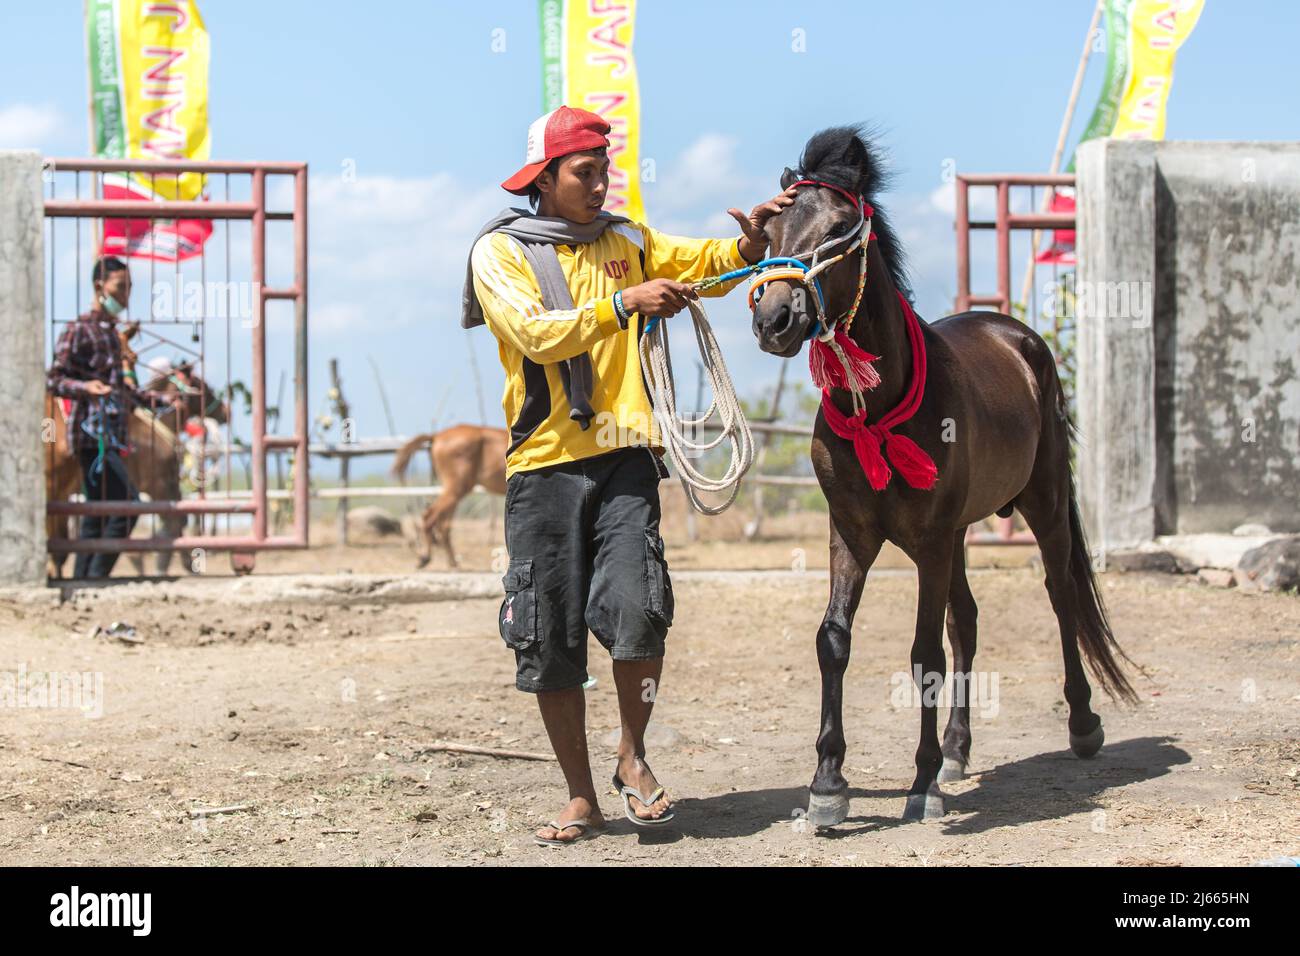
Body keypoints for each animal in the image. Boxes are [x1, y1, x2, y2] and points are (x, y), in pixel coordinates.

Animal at [390, 424, 508, 568]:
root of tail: (436, 436)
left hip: (453, 492)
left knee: (444, 525)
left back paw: (451, 561)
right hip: (456, 489)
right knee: (430, 517)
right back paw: (425, 557)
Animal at [748, 127, 1136, 826]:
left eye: (840, 226)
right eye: (770, 229)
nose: (775, 320)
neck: (877, 410)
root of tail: (1018, 337)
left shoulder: (928, 541)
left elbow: (924, 653)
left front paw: (921, 782)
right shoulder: (851, 533)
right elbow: (835, 641)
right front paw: (828, 783)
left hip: (1042, 506)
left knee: (1060, 597)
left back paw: (1082, 725)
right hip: (959, 536)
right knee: (969, 621)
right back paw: (958, 748)